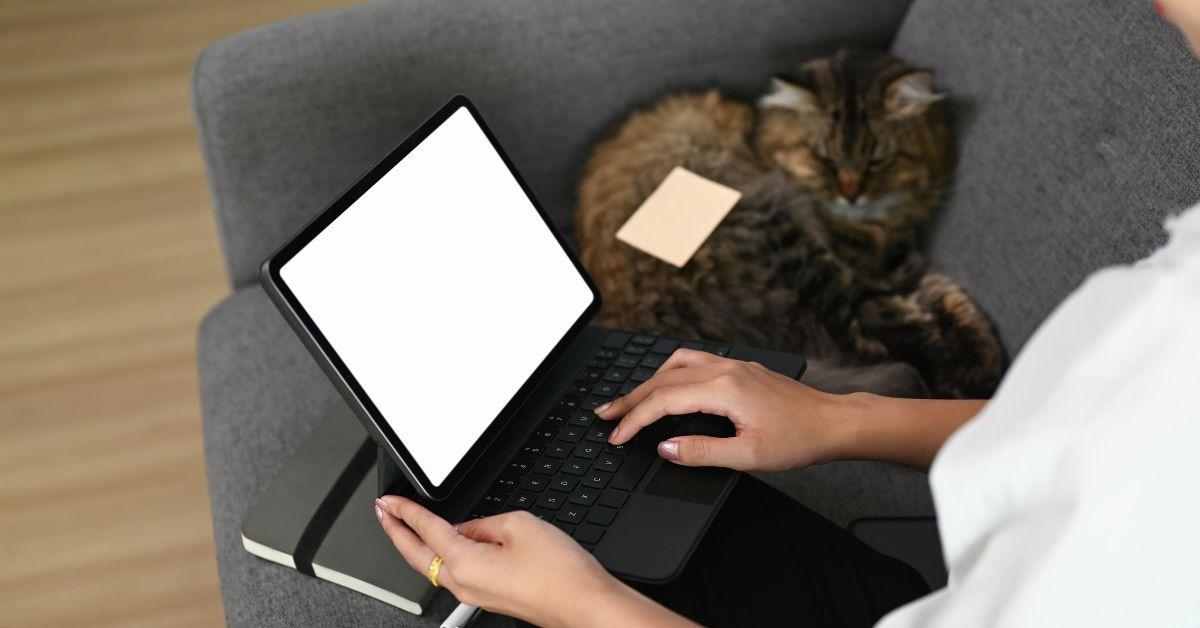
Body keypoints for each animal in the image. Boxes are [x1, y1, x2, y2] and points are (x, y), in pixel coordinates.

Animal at [576, 49, 1008, 398]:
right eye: (824, 158)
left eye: (876, 161)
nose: (851, 194)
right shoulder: (870, 272)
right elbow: (914, 311)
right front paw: (963, 372)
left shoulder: (898, 261)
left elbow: (952, 297)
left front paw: (984, 359)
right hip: (783, 231)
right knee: (862, 335)